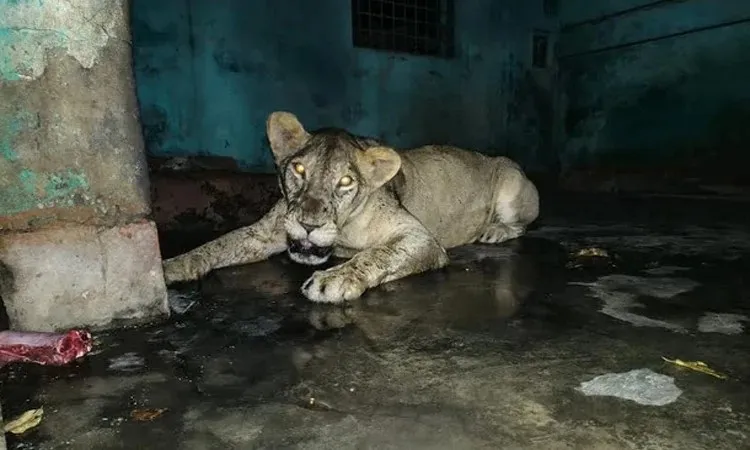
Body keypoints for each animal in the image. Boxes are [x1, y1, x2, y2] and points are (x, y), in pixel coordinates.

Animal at [162, 111, 539, 304]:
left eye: (345, 181)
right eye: (299, 169)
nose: (309, 225)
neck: (342, 231)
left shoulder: (421, 238)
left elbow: (376, 255)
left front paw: (334, 279)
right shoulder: (265, 232)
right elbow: (219, 244)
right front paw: (172, 266)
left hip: (510, 180)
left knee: (523, 223)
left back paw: (494, 230)